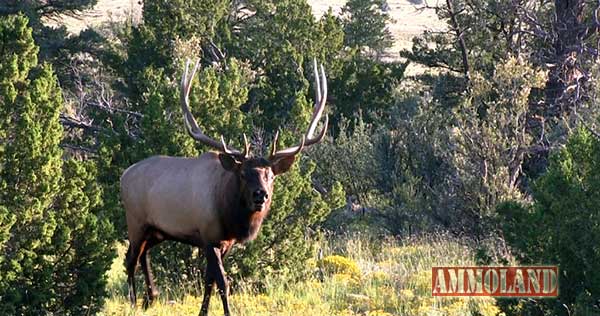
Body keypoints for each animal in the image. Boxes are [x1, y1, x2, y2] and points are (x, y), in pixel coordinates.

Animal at [120, 58, 328, 314]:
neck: (230, 216)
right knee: (130, 259)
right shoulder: (208, 236)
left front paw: (203, 311)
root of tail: (123, 176)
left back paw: (151, 298)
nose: (260, 195)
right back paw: (133, 302)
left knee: (143, 254)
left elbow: (209, 279)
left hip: (156, 230)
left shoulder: (225, 242)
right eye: (243, 173)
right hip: (135, 221)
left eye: (270, 175)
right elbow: (222, 281)